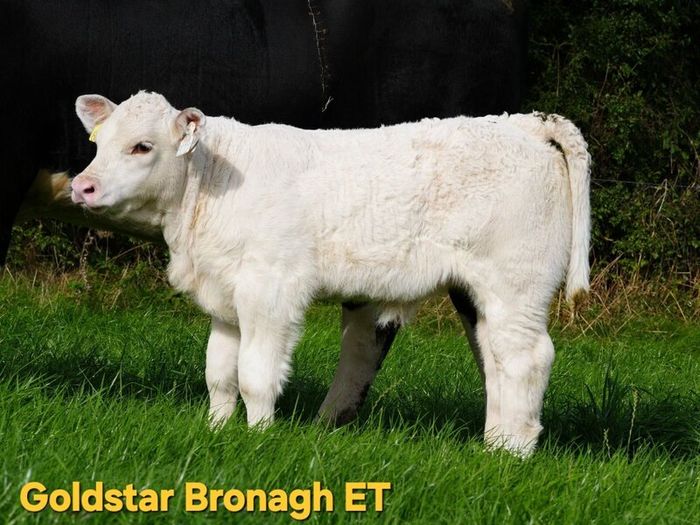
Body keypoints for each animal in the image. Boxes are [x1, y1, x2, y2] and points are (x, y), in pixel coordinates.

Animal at [70, 91, 590, 456]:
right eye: (99, 143)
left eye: (142, 147)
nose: (82, 185)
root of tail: (521, 122)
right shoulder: (226, 296)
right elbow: (219, 373)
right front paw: (217, 430)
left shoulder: (270, 290)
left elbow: (254, 374)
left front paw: (258, 436)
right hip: (485, 293)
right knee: (496, 359)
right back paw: (495, 445)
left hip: (515, 285)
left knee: (526, 359)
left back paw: (515, 452)